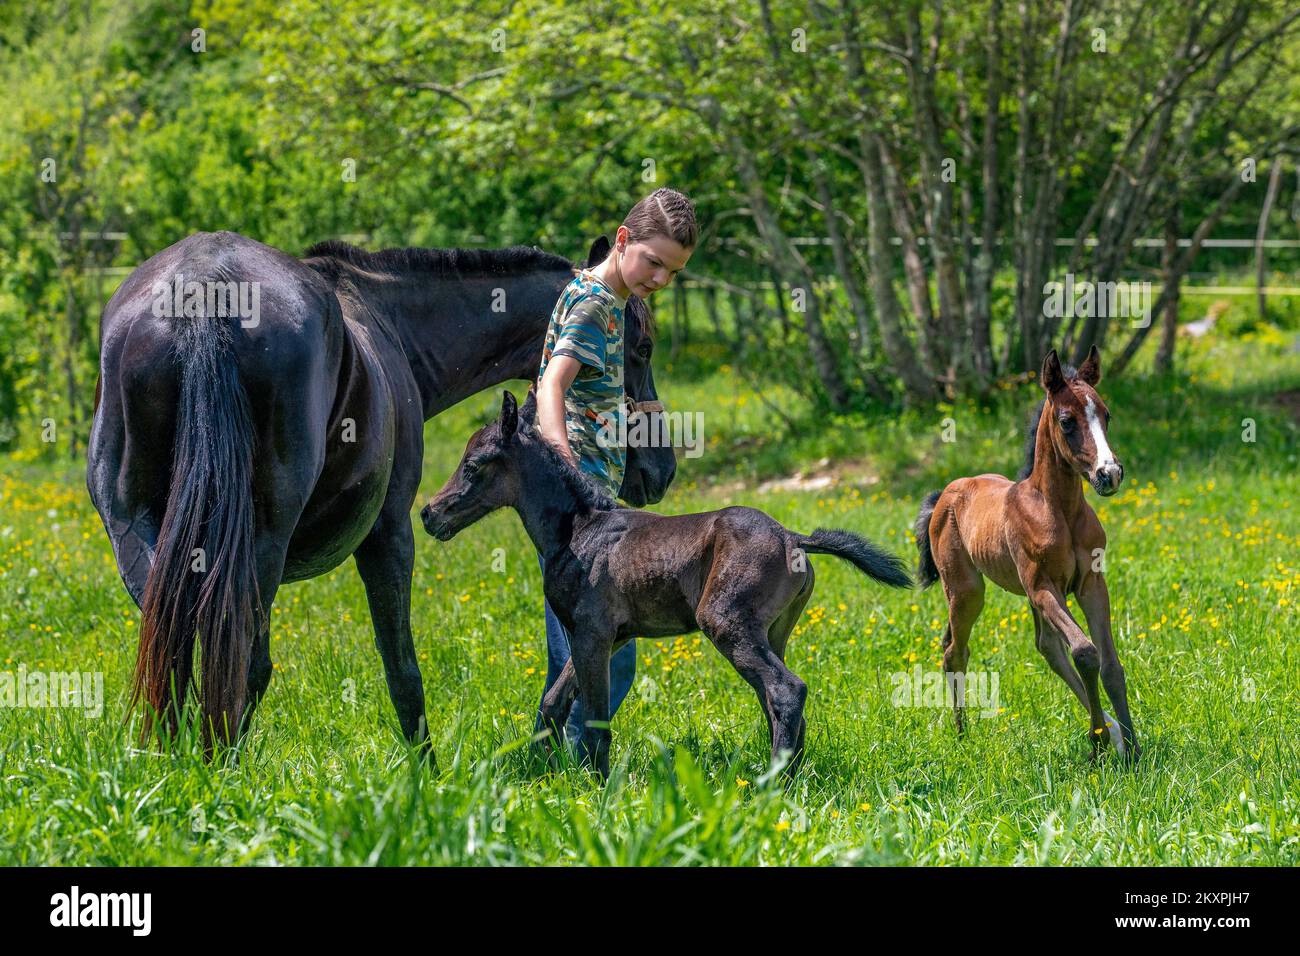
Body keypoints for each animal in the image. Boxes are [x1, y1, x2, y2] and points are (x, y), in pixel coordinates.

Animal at [86, 230, 676, 754]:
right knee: (242, 662)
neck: (391, 326)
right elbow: (402, 668)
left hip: (145, 541)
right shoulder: (389, 532)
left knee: (172, 653)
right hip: (259, 547)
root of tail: (203, 288)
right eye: (642, 347)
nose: (662, 469)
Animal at [915, 348, 1138, 764]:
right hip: (967, 592)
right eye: (1067, 421)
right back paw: (962, 735)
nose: (1109, 474)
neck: (1059, 510)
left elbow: (1110, 662)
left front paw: (1131, 744)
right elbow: (1086, 651)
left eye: (1107, 414)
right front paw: (1099, 740)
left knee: (1047, 647)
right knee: (955, 651)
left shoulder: (1089, 584)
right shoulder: (1042, 587)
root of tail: (945, 493)